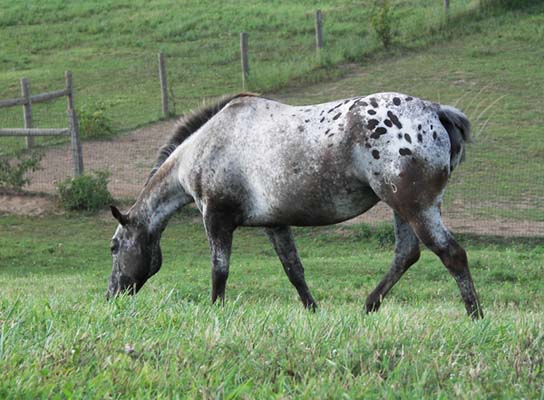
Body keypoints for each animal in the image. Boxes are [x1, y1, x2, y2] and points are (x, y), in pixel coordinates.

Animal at [108, 93, 482, 318]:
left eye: (114, 247)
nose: (111, 295)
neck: (205, 145)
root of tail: (435, 111)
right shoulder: (274, 223)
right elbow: (294, 270)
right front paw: (313, 310)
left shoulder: (216, 219)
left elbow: (219, 270)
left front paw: (216, 311)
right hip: (401, 207)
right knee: (406, 254)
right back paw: (369, 305)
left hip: (415, 207)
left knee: (451, 254)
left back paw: (475, 315)